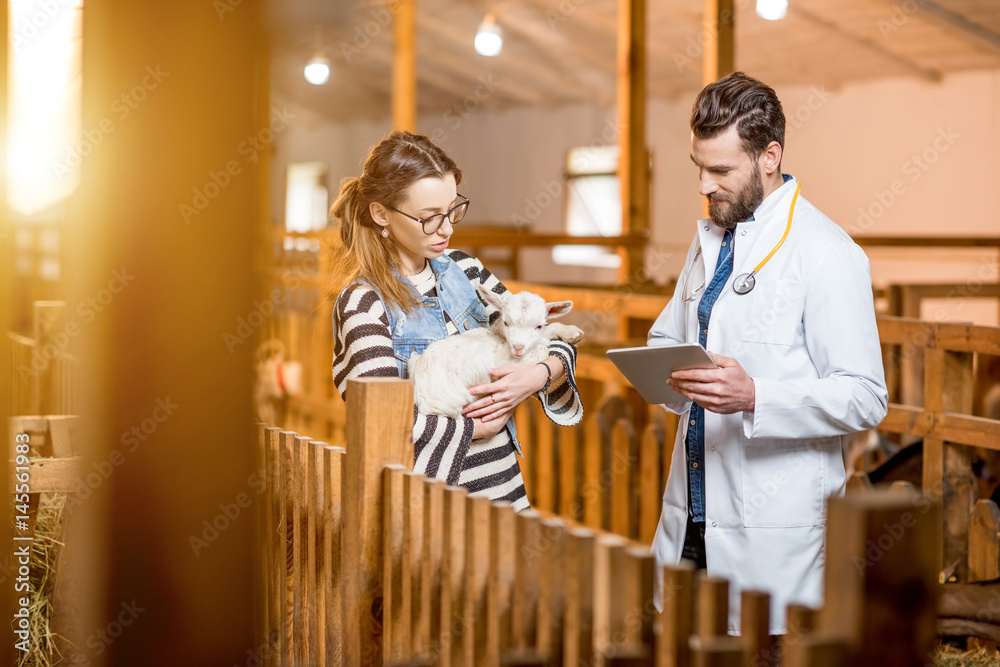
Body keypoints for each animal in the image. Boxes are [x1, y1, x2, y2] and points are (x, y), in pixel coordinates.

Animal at [408, 286, 584, 418]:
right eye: (506, 322)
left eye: (538, 325)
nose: (518, 347)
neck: (499, 337)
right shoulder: (505, 364)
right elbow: (543, 348)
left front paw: (572, 333)